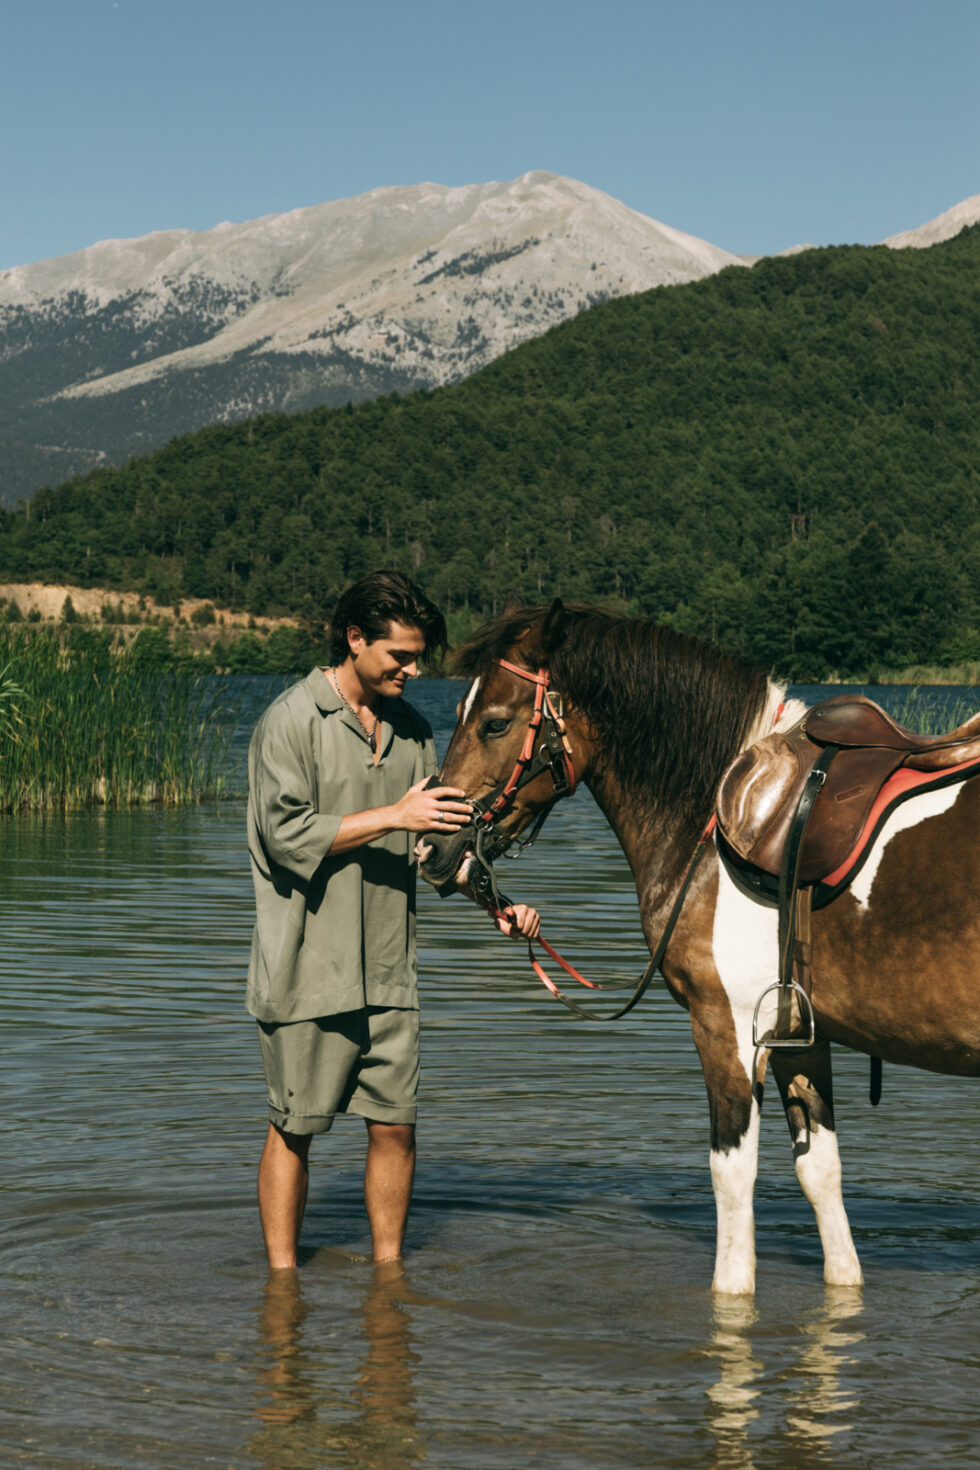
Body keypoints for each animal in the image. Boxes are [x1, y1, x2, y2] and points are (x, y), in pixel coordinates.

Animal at [418, 600, 980, 1295]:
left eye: (495, 723)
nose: (431, 849)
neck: (713, 817)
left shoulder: (727, 1025)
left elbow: (732, 1183)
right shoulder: (799, 1032)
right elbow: (822, 1179)